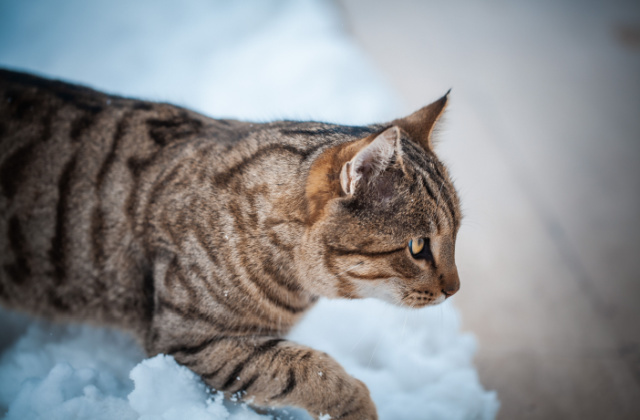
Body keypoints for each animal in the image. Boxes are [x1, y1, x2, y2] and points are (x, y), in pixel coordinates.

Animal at [0, 69, 460, 420]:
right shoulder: (190, 339)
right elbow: (309, 371)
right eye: (418, 246)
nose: (455, 289)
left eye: (456, 235)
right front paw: (357, 409)